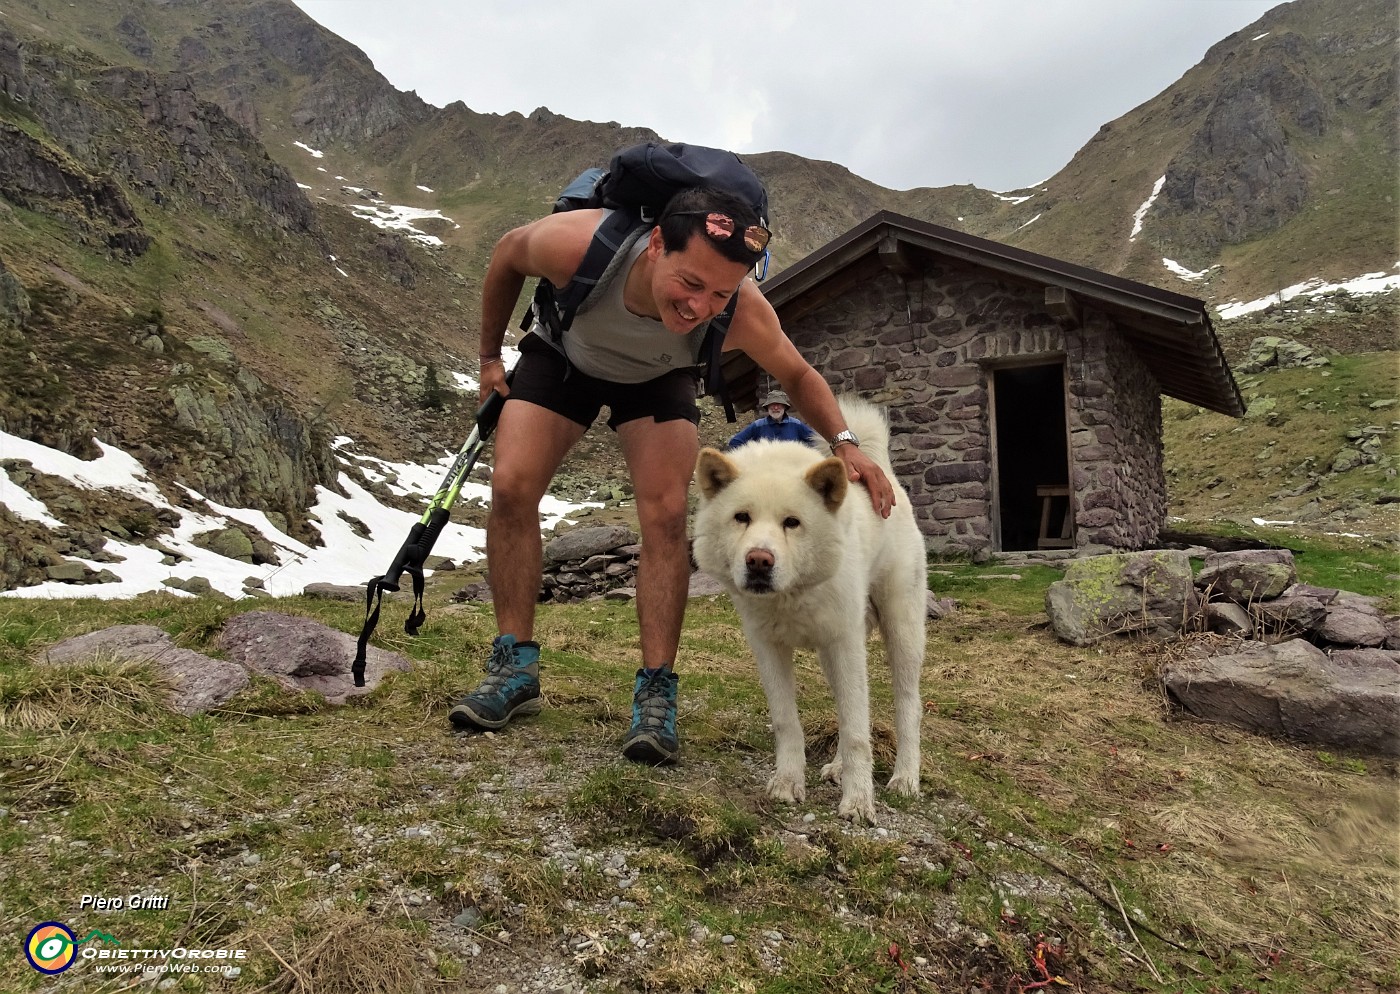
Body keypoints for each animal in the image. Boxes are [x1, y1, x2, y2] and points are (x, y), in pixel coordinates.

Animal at [691, 397, 929, 823]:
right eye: (741, 517)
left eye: (792, 522)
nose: (759, 561)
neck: (791, 594)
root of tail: (882, 472)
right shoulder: (769, 649)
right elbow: (789, 722)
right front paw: (788, 783)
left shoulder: (846, 645)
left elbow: (857, 731)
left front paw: (859, 800)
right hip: (832, 657)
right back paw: (838, 767)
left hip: (901, 634)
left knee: (908, 705)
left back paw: (905, 777)